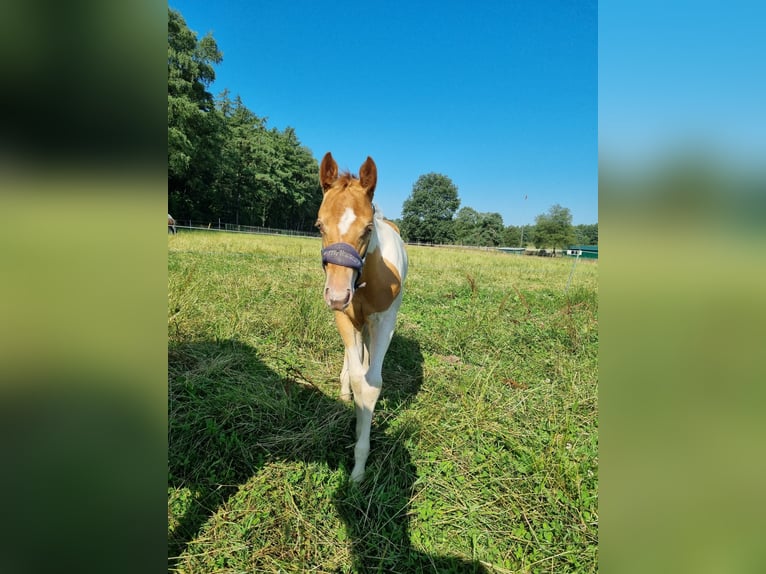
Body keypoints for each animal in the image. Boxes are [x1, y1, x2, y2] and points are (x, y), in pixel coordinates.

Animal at [316, 154, 412, 486]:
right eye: (319, 225)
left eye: (368, 228)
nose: (336, 295)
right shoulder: (344, 318)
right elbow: (360, 379)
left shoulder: (384, 321)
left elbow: (371, 384)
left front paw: (359, 468)